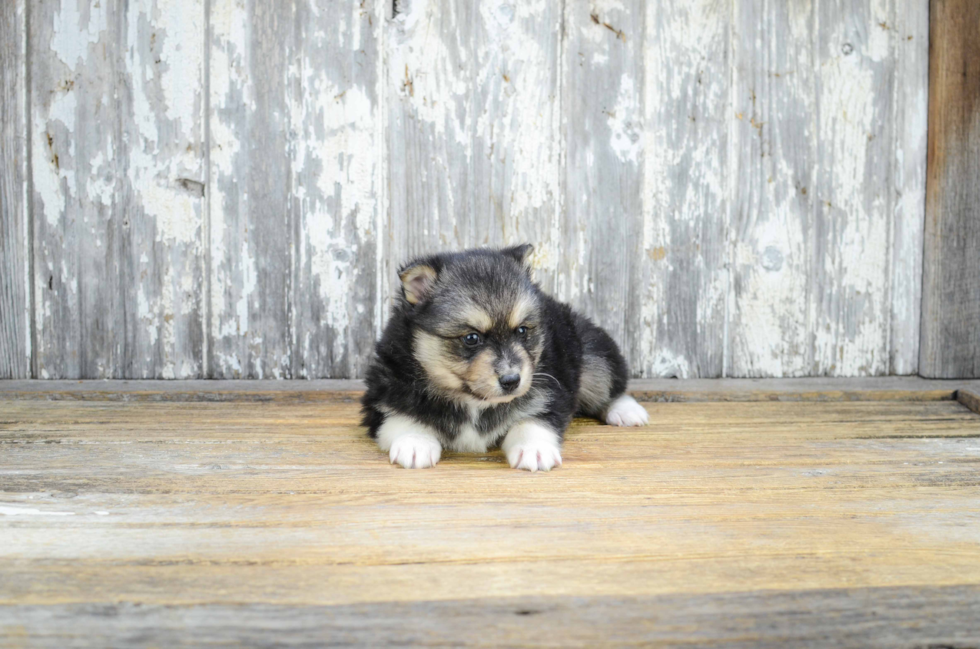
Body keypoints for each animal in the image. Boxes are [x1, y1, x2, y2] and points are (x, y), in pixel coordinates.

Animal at [362, 243, 652, 470]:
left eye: (522, 330)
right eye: (472, 338)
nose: (512, 381)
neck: (472, 401)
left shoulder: (550, 392)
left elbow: (533, 420)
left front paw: (533, 449)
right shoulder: (382, 397)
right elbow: (401, 417)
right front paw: (415, 443)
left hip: (593, 357)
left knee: (610, 386)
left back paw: (626, 411)